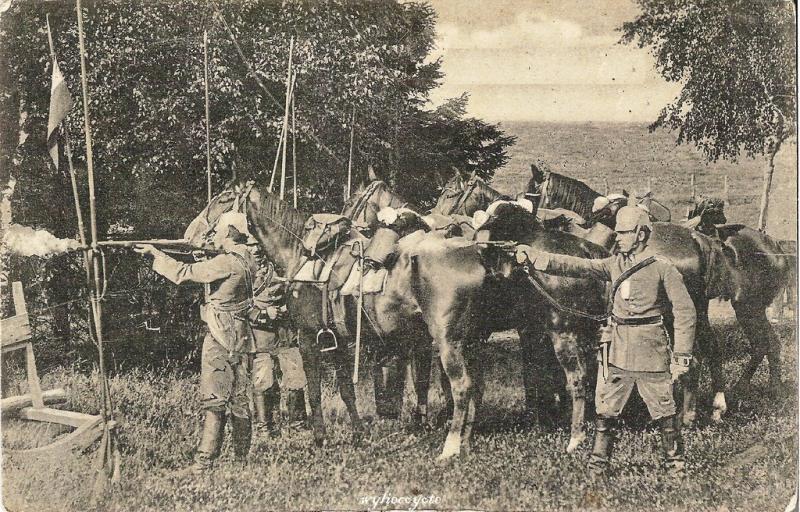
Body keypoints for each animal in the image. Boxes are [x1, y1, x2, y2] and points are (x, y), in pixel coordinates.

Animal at [527, 167, 794, 422]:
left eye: (532, 191)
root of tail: (775, 246)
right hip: (730, 310)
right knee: (757, 345)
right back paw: (739, 399)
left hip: (739, 309)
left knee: (749, 347)